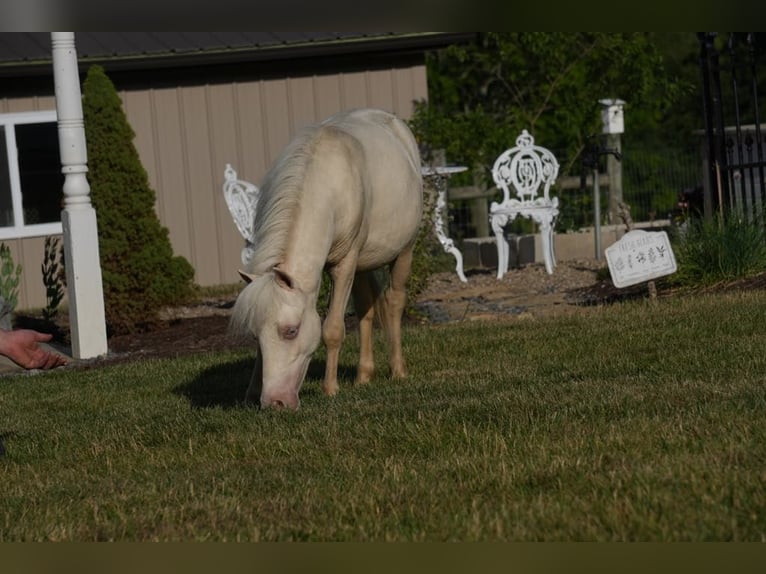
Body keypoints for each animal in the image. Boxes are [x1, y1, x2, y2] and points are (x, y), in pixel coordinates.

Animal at [232, 109, 426, 410]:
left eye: (291, 331)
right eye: (254, 335)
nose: (275, 402)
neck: (326, 183)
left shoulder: (344, 264)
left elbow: (332, 328)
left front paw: (330, 388)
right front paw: (251, 392)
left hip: (404, 250)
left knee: (394, 301)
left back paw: (397, 370)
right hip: (364, 262)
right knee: (366, 307)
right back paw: (363, 376)